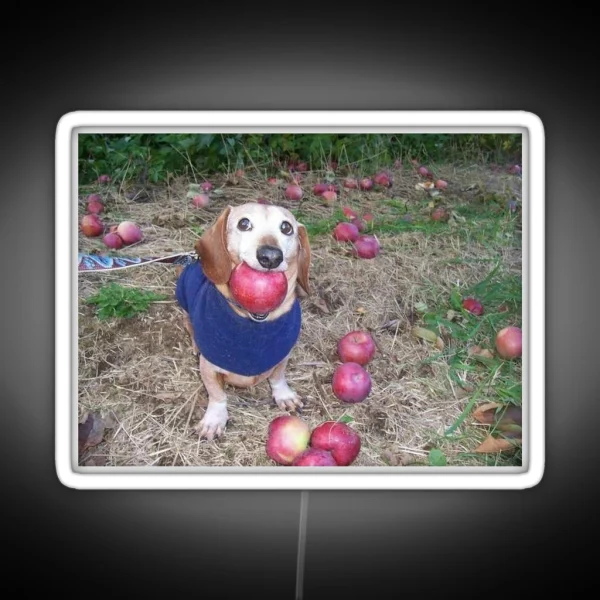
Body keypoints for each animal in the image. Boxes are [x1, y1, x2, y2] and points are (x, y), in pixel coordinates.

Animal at [175, 202, 312, 440]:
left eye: (286, 227)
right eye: (244, 223)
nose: (270, 257)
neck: (254, 325)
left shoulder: (282, 355)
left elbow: (278, 377)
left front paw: (284, 395)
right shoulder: (209, 367)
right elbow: (217, 394)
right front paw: (214, 419)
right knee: (190, 327)